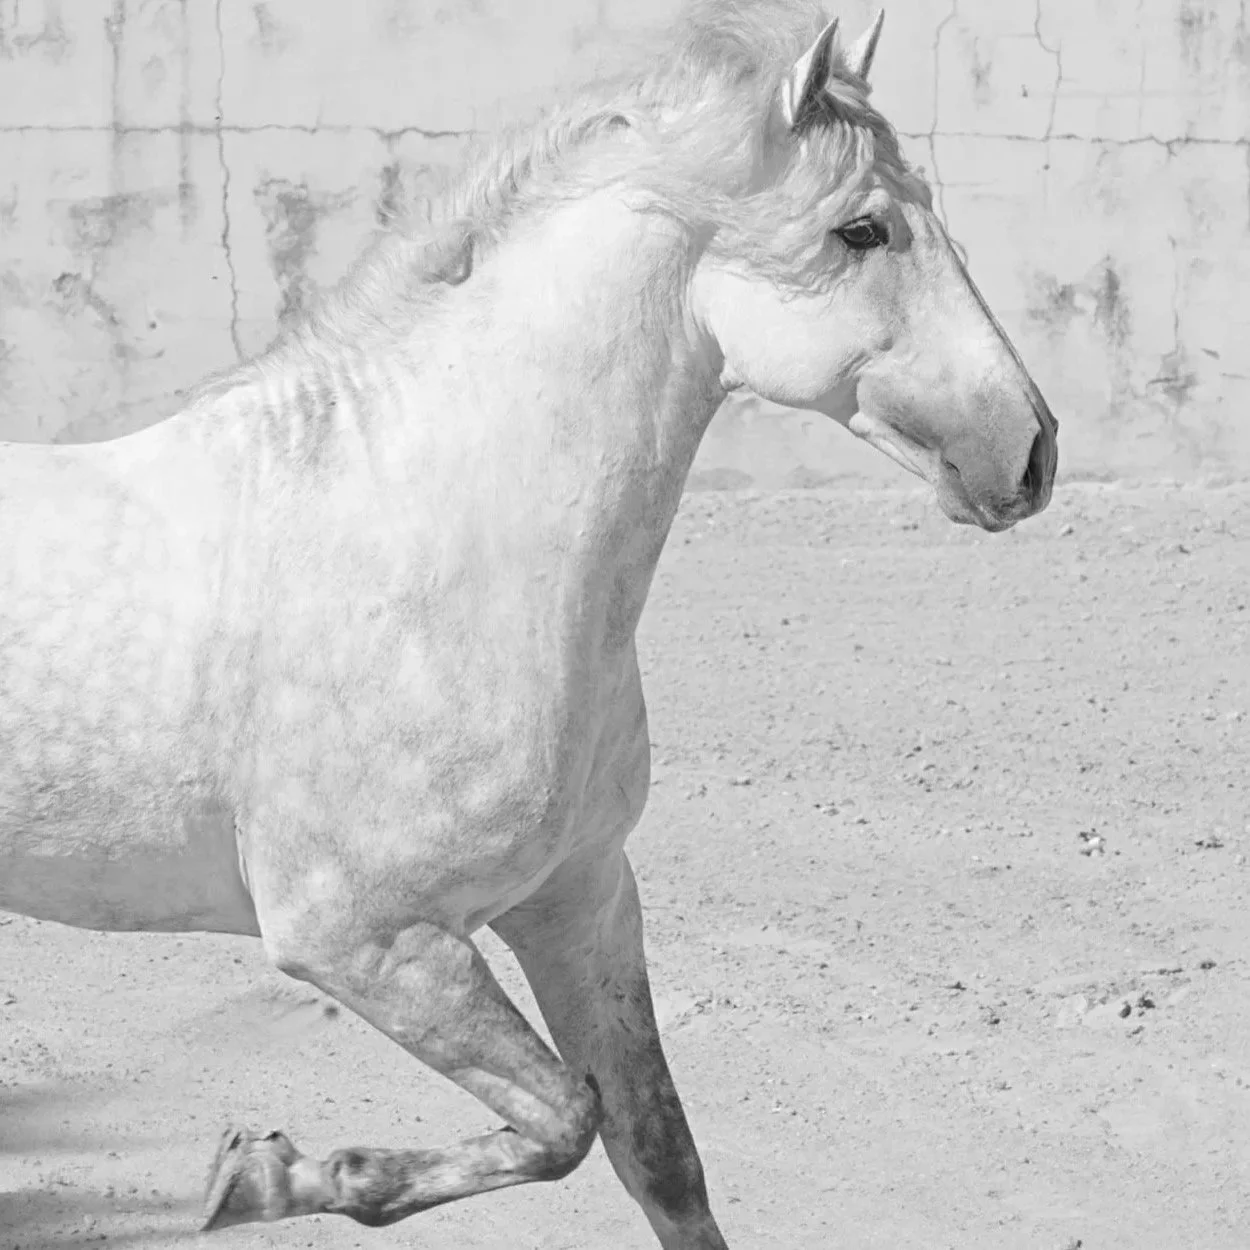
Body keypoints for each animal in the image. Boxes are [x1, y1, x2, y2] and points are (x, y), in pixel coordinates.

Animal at [0, 3, 1057, 1246]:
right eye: (862, 229)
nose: (1026, 450)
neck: (430, 547)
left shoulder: (580, 899)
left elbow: (658, 1151)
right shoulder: (369, 940)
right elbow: (564, 1118)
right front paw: (264, 1174)